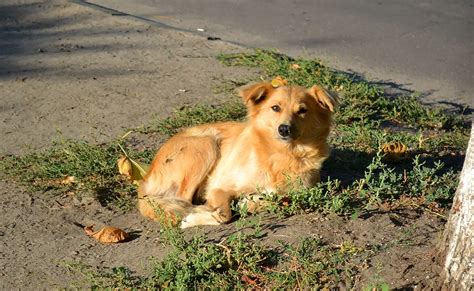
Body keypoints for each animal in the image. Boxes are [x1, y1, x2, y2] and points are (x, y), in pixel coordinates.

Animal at [137, 81, 336, 229]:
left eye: (302, 110)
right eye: (275, 108)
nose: (284, 129)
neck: (281, 154)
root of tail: (145, 179)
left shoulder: (297, 192)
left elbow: (278, 199)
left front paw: (249, 202)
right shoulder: (218, 188)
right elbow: (224, 214)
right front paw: (198, 217)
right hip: (206, 145)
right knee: (182, 201)